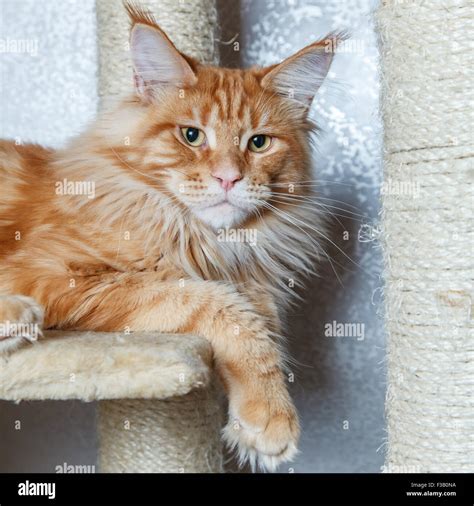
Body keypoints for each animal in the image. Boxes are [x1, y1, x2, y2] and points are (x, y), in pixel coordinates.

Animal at [0, 1, 340, 472]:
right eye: (191, 135)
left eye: (258, 143)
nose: (229, 178)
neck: (202, 240)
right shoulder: (58, 274)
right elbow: (218, 307)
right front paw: (270, 417)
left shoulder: (253, 287)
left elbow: (263, 326)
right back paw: (16, 319)